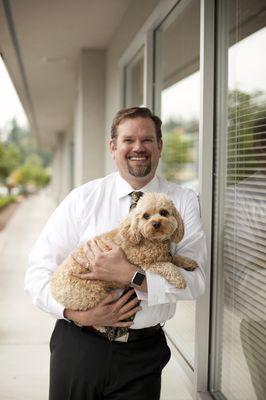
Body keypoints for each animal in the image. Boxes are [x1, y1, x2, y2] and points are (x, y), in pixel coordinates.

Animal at [51, 192, 198, 310]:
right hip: (91, 293)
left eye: (164, 212)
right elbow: (167, 266)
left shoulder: (165, 255)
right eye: (146, 216)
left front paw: (189, 262)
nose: (156, 223)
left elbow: (175, 257)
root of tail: (54, 288)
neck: (149, 240)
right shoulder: (143, 263)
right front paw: (179, 279)